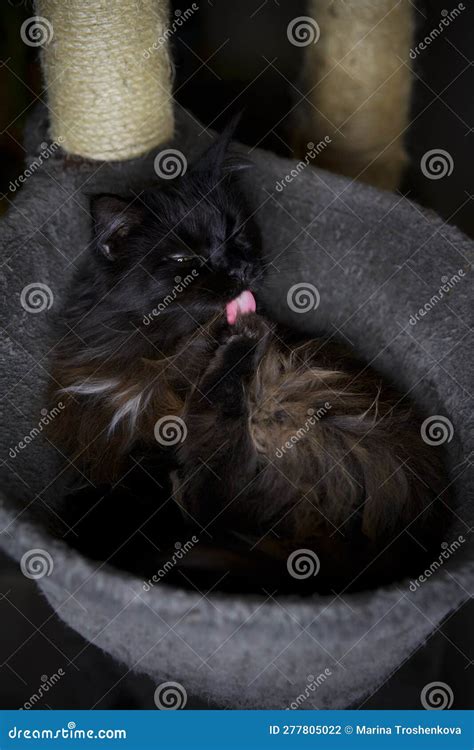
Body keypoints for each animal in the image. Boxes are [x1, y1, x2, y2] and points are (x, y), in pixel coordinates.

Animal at [47, 128, 448, 592]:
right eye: (184, 259)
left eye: (234, 233)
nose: (239, 270)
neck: (157, 354)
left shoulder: (160, 447)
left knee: (216, 491)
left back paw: (245, 340)